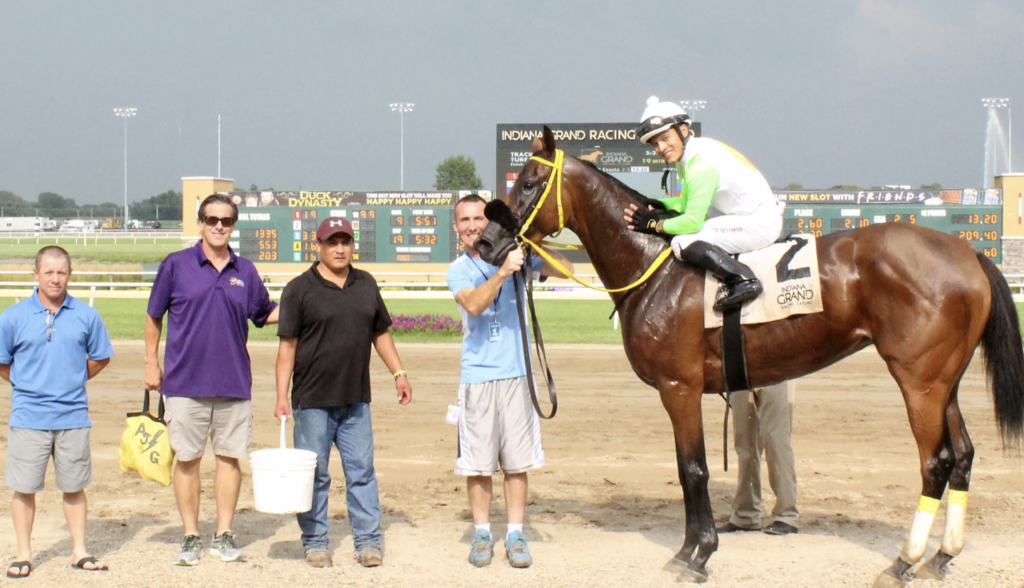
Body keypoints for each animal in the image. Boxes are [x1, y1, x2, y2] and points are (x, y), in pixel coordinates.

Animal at [477, 127, 1024, 585]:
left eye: (528, 183)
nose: (485, 242)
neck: (654, 268)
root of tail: (970, 251)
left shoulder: (679, 388)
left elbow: (692, 469)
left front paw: (697, 554)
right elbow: (690, 469)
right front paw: (690, 550)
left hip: (918, 381)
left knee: (936, 461)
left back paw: (904, 561)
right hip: (944, 381)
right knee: (963, 455)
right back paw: (941, 555)